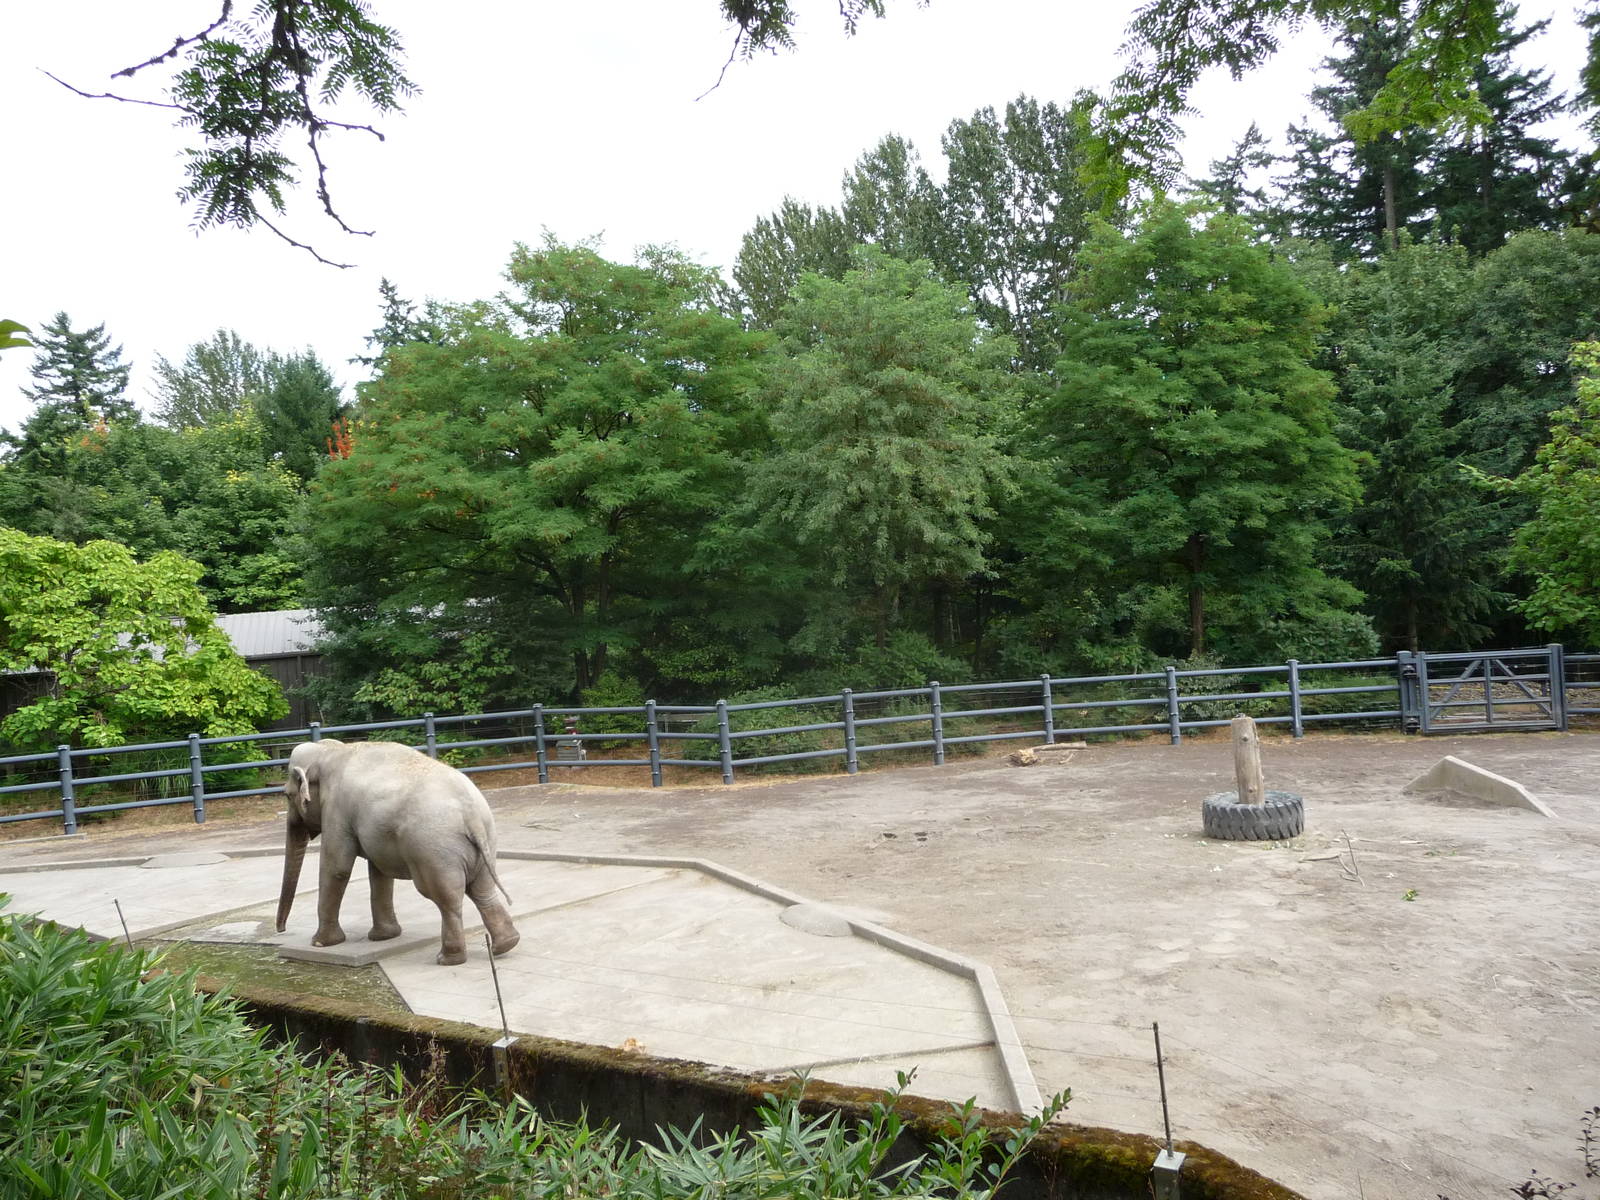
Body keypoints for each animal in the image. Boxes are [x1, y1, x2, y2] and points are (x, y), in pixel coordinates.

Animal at [274, 738, 520, 965]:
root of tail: (472, 817)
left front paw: (320, 943)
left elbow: (337, 868)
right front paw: (384, 937)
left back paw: (448, 959)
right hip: (484, 843)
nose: (281, 930)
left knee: (446, 899)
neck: (331, 751)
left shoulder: (337, 810)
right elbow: (379, 872)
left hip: (434, 850)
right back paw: (506, 944)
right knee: (483, 891)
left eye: (286, 795)